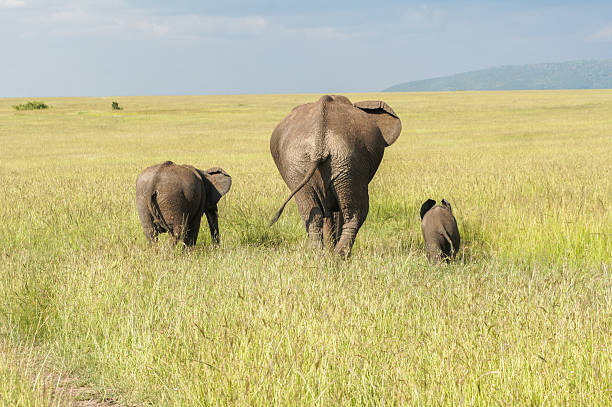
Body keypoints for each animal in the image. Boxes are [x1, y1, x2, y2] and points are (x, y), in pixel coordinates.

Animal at [268, 94, 402, 256]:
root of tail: (320, 139)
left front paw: (328, 249)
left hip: (302, 164)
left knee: (311, 213)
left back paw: (320, 255)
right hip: (345, 161)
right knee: (355, 213)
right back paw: (339, 256)